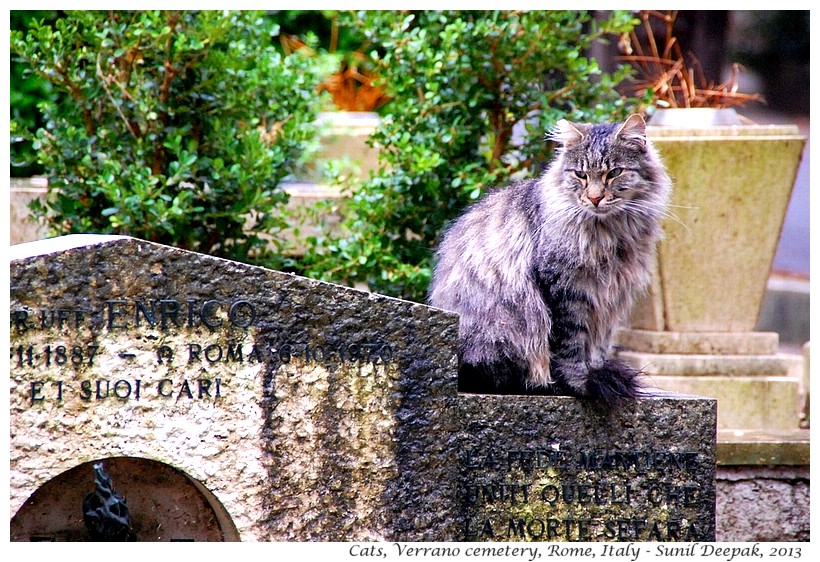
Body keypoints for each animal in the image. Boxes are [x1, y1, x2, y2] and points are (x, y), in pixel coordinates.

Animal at [430, 115, 672, 402]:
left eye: (614, 173)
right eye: (580, 175)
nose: (595, 198)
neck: (609, 234)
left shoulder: (609, 299)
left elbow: (598, 346)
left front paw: (598, 371)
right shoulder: (565, 289)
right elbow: (571, 347)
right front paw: (583, 384)